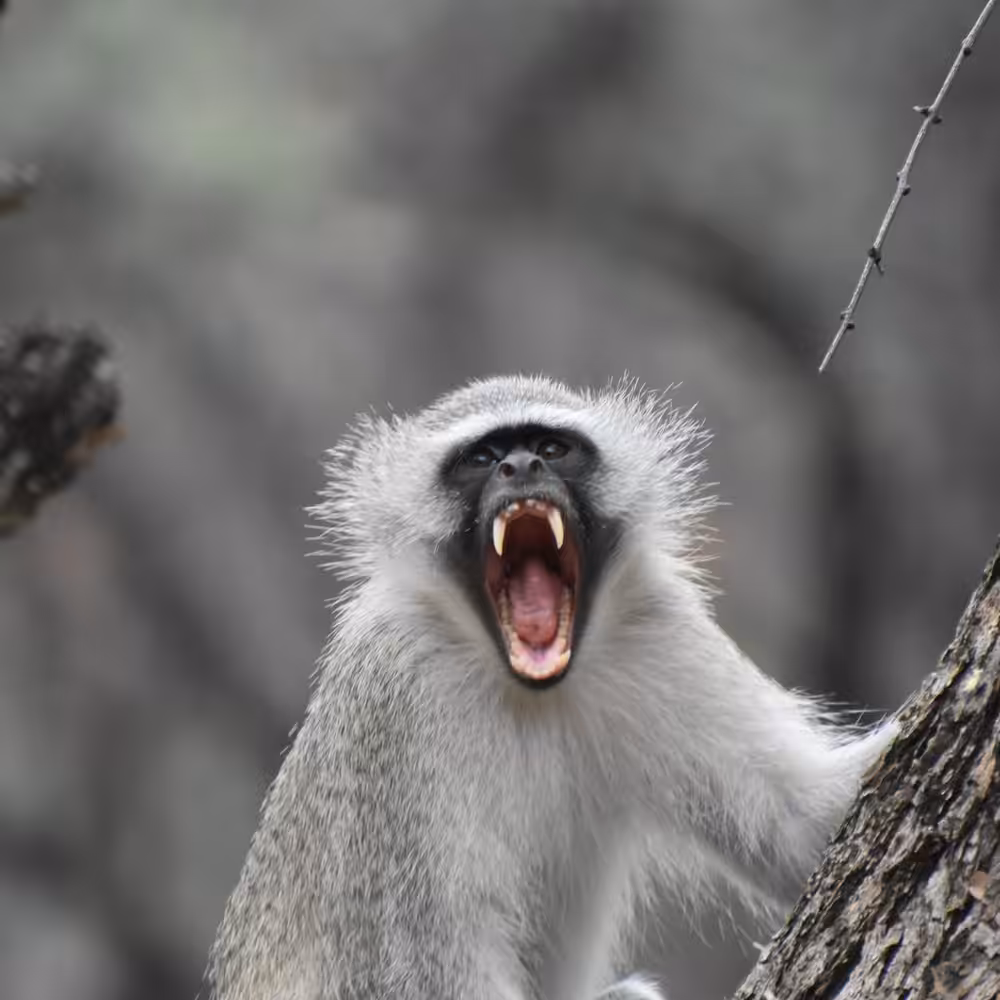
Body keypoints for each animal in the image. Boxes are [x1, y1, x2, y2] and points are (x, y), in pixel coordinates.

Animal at [207, 374, 897, 1000]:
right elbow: (421, 967)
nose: (520, 465)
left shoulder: (657, 625)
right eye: (482, 458)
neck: (533, 692)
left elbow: (801, 822)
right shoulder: (395, 686)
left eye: (551, 447)